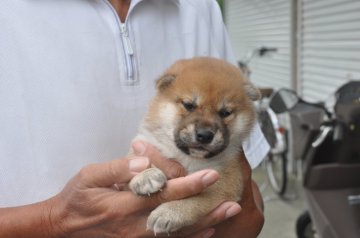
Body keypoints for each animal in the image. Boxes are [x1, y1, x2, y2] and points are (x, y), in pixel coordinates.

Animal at [128, 57, 260, 234]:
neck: (187, 157)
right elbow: (137, 160)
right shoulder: (145, 142)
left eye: (225, 113)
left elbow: (196, 200)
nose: (205, 135)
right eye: (189, 105)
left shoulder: (227, 181)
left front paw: (169, 212)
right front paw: (146, 176)